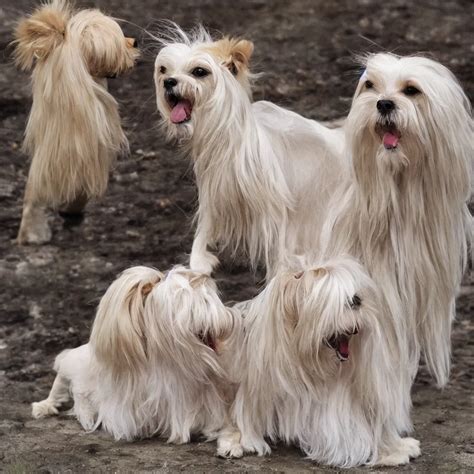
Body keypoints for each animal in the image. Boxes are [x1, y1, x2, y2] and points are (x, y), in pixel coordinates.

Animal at [30, 264, 241, 454]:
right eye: (196, 305)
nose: (230, 318)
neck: (170, 365)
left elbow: (229, 427)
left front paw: (231, 445)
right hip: (80, 362)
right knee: (64, 376)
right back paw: (49, 406)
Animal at [155, 25, 344, 278]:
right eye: (164, 69)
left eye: (199, 71)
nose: (168, 82)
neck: (228, 144)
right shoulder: (213, 196)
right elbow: (203, 231)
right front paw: (199, 262)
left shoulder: (276, 214)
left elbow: (279, 253)